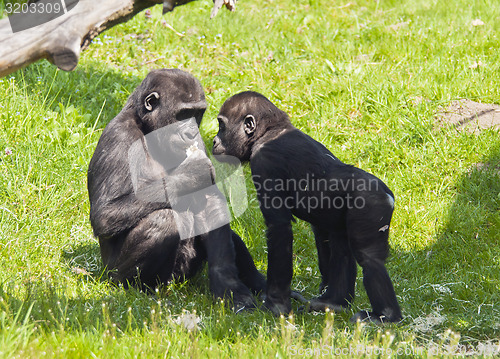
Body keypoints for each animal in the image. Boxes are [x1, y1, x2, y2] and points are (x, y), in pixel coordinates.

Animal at [87, 69, 266, 310]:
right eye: (183, 114)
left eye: (197, 114)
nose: (190, 132)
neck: (147, 128)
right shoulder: (119, 135)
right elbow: (105, 214)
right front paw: (192, 174)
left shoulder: (199, 142)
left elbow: (210, 202)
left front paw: (227, 285)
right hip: (115, 274)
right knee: (163, 221)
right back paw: (136, 288)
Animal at [211, 92, 402, 324]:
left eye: (221, 126)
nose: (214, 140)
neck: (268, 132)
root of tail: (388, 194)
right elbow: (321, 233)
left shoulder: (264, 163)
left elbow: (279, 228)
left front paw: (276, 305)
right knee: (341, 244)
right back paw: (335, 303)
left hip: (371, 205)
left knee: (369, 257)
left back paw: (386, 315)